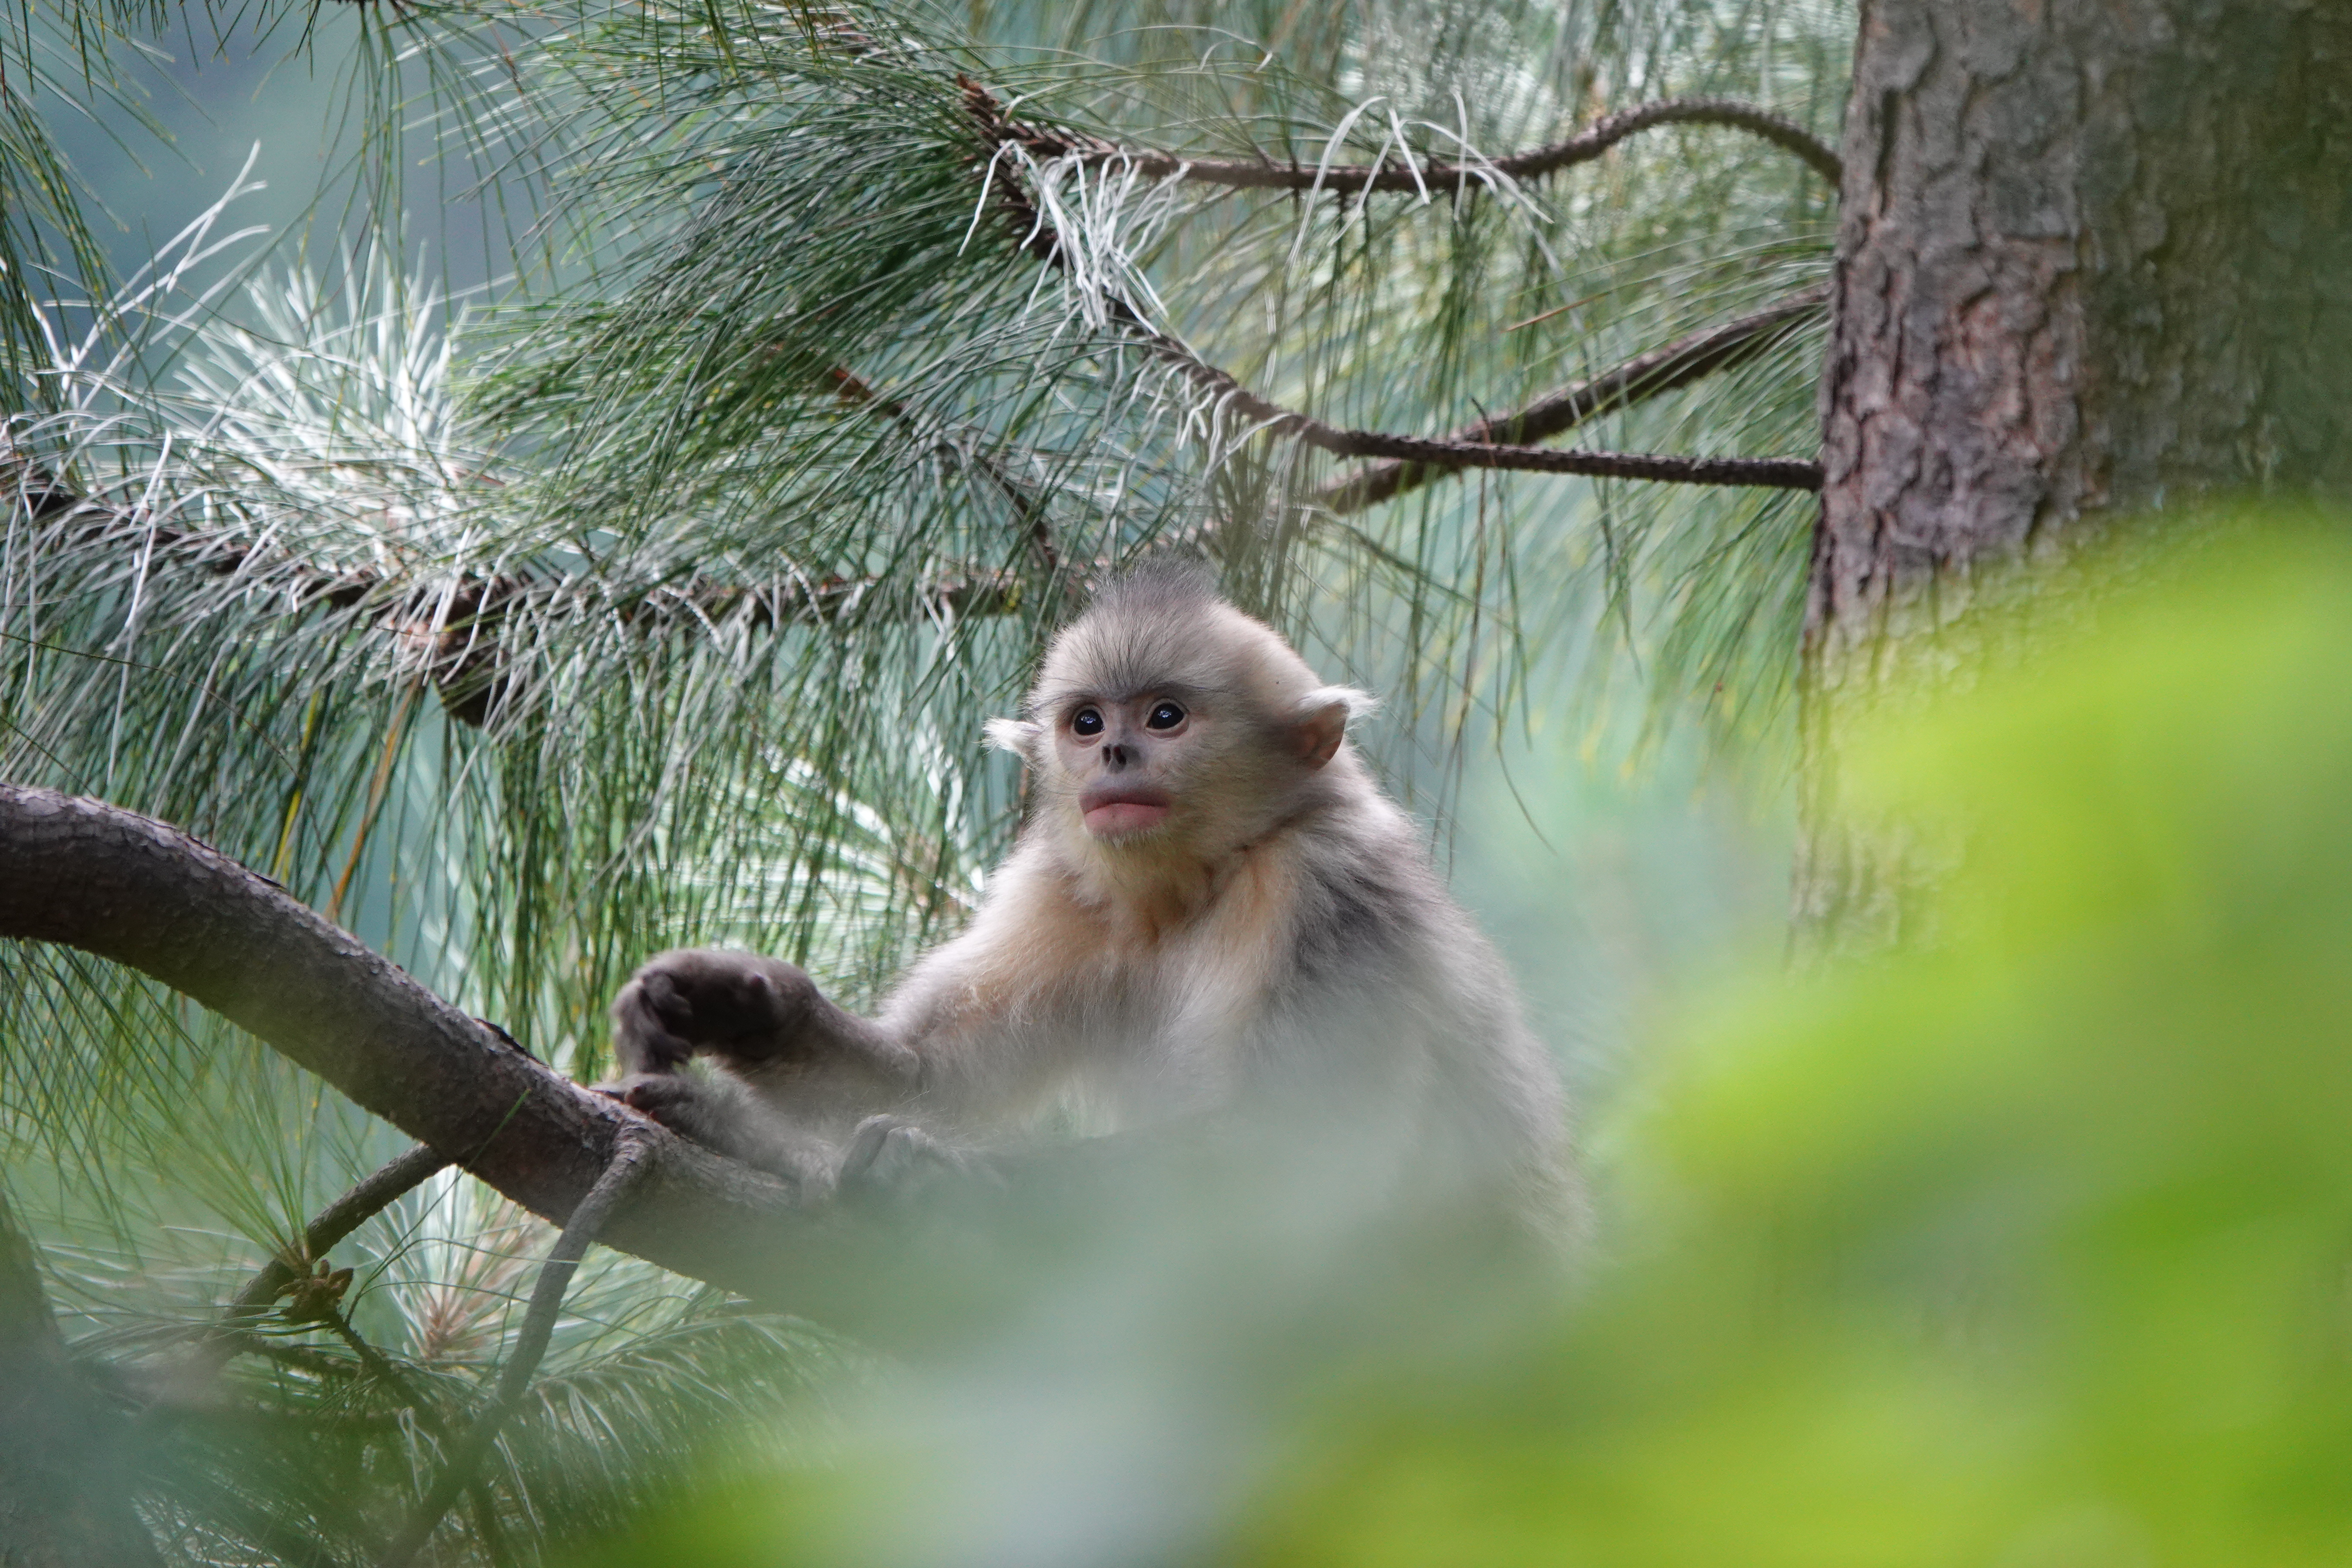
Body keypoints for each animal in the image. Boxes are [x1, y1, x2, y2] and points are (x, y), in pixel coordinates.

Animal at [603, 566, 1574, 1241]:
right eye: (1088, 722)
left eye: (1165, 717)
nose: (1112, 755)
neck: (1193, 891)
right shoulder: (1063, 891)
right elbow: (927, 1078)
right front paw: (733, 1003)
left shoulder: (1327, 881)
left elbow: (1295, 1151)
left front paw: (846, 1156)